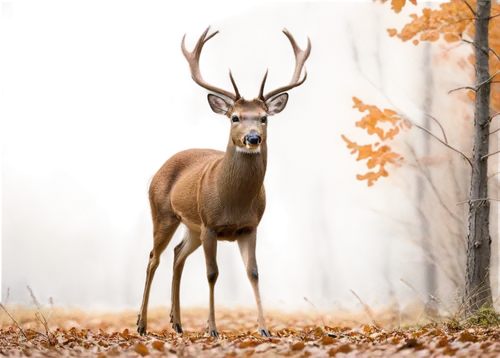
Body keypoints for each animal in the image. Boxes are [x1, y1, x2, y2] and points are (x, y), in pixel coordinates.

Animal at [135, 23, 310, 338]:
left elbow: (253, 273)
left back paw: (177, 323)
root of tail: (158, 170)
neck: (233, 201)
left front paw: (264, 329)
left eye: (264, 118)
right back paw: (142, 324)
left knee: (177, 260)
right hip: (165, 214)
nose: (252, 138)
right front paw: (213, 328)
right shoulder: (210, 225)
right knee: (155, 259)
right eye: (236, 117)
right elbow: (212, 274)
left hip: (190, 227)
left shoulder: (249, 227)